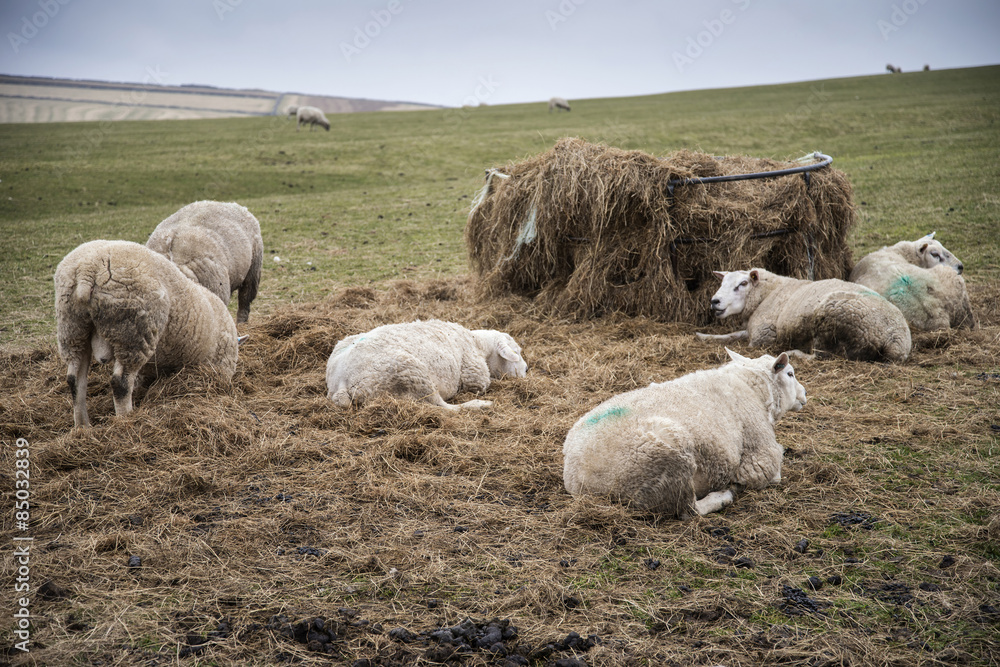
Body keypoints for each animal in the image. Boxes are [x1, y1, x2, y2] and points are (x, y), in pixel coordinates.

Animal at [54, 240, 240, 428]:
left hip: (72, 328)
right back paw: (126, 420)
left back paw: (83, 426)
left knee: (75, 379)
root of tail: (87, 272)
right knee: (120, 382)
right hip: (132, 332)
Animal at [326, 320, 527, 411]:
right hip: (412, 373)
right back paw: (481, 404)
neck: (477, 343)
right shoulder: (475, 377)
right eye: (516, 352)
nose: (527, 369)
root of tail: (340, 381)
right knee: (444, 406)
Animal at [563, 348, 806, 518]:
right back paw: (722, 497)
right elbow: (773, 473)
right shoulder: (759, 457)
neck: (751, 389)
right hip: (668, 465)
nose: (805, 394)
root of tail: (579, 481)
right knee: (689, 511)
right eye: (790, 373)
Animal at [696, 268, 912, 362]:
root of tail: (895, 339)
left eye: (742, 284)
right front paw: (703, 336)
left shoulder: (764, 336)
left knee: (821, 356)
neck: (768, 293)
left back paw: (792, 353)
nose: (715, 301)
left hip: (832, 322)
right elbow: (732, 335)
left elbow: (741, 341)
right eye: (722, 283)